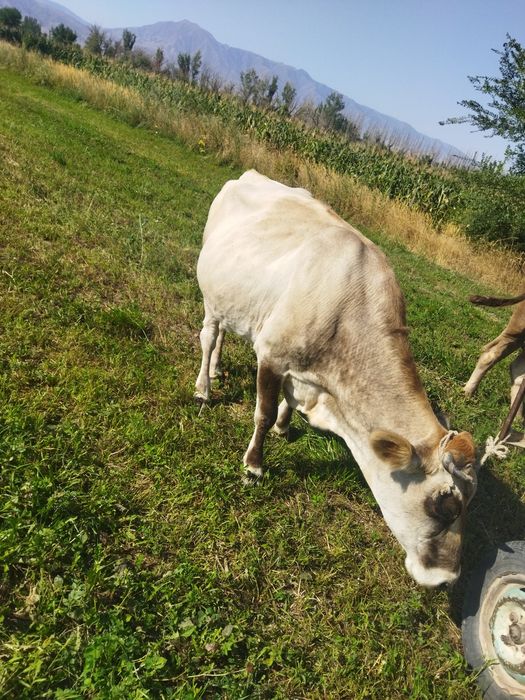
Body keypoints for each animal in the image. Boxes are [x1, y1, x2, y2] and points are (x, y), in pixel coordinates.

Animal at [195, 170, 477, 588]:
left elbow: (287, 403)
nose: (447, 578)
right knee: (210, 335)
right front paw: (254, 464)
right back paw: (204, 387)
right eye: (446, 504)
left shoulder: (306, 373)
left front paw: (284, 427)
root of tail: (249, 175)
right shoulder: (273, 354)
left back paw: (215, 369)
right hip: (211, 295)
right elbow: (262, 412)